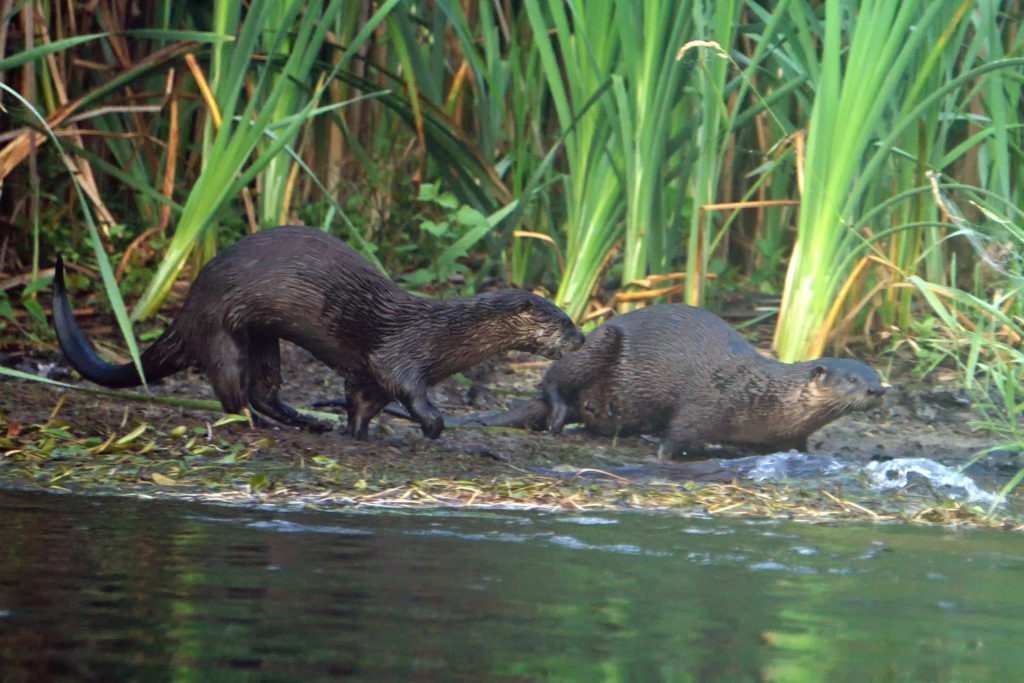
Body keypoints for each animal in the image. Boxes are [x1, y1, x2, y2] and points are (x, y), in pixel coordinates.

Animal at [51, 224, 585, 438]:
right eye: (563, 321)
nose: (581, 339)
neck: (443, 336)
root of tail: (185, 308)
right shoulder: (400, 358)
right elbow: (408, 390)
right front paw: (432, 426)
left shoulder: (366, 378)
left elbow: (363, 402)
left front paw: (357, 433)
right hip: (223, 327)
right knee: (231, 391)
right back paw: (264, 424)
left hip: (263, 336)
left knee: (264, 389)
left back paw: (307, 422)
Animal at [468, 305, 884, 458]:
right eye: (851, 379)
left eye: (877, 375)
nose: (877, 389)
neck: (763, 397)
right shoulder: (706, 405)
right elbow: (678, 432)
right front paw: (666, 455)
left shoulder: (791, 435)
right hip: (599, 342)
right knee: (553, 379)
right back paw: (556, 415)